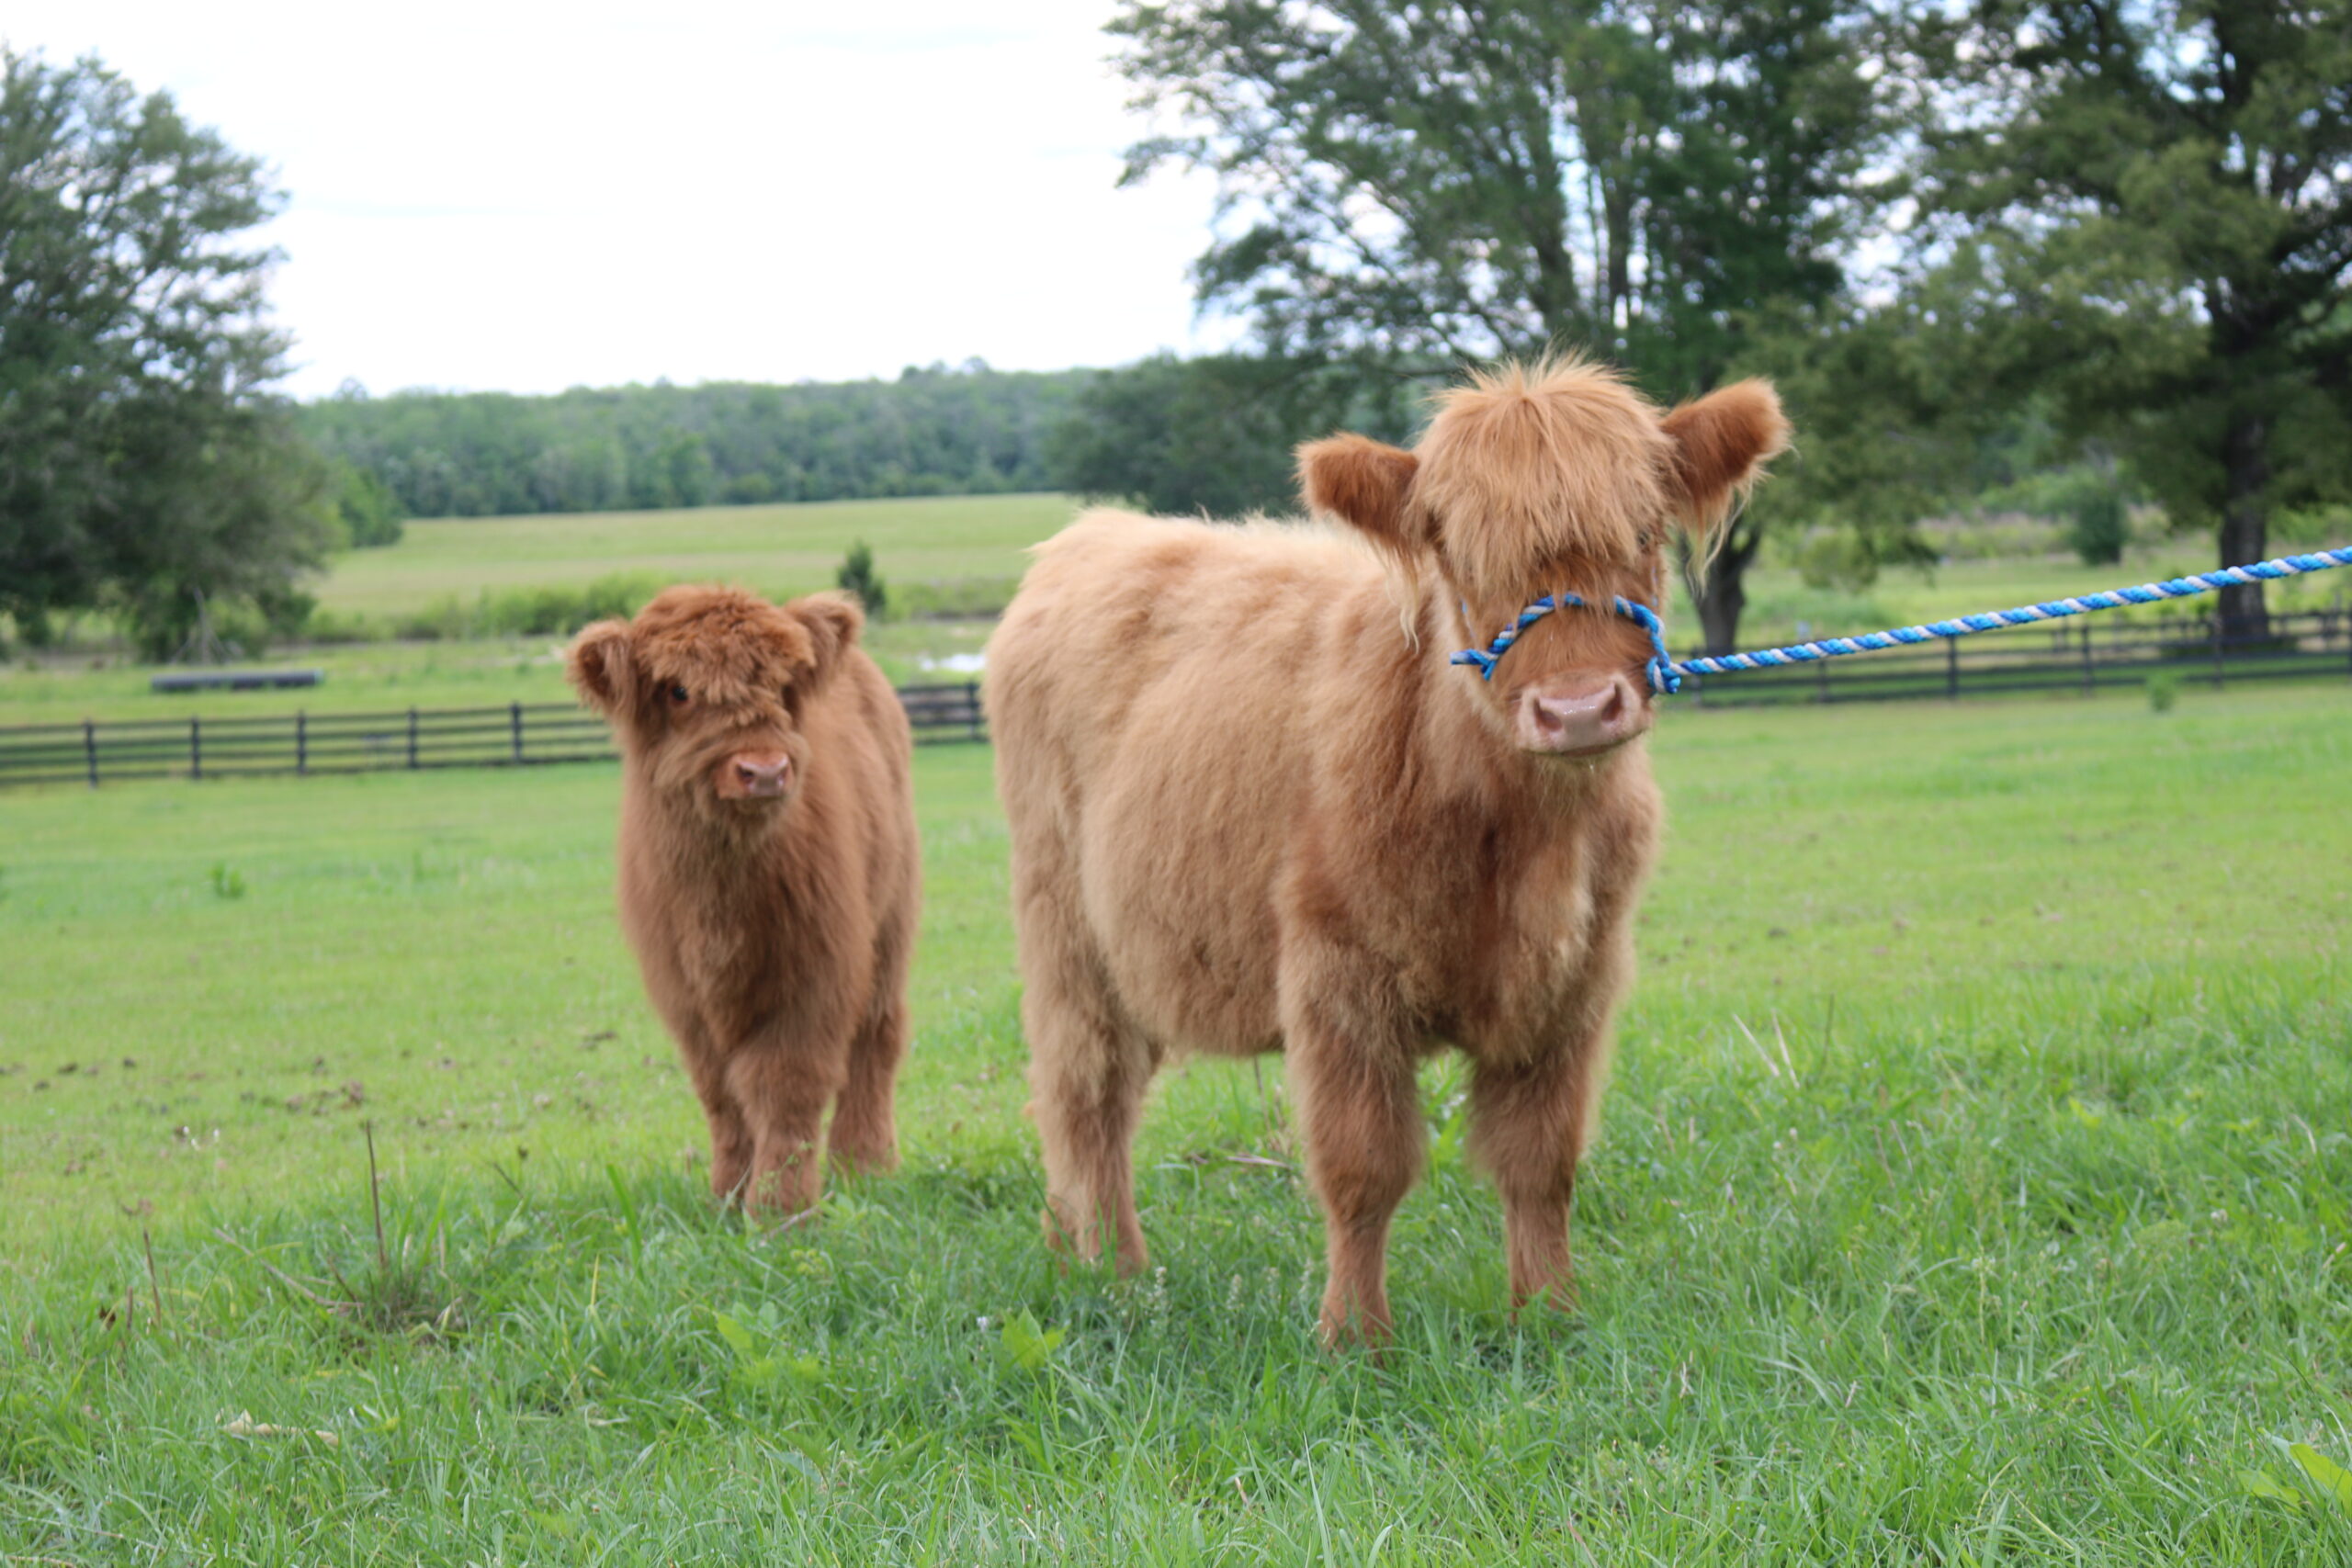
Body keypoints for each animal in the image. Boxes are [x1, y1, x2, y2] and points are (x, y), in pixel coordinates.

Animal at [566, 585, 919, 1214]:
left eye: (781, 685)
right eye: (678, 690)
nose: (764, 770)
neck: (721, 906)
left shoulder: (815, 973)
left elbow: (785, 1085)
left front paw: (781, 1206)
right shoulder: (684, 993)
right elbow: (721, 1094)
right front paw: (728, 1195)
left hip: (890, 922)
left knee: (876, 1040)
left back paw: (865, 1165)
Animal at [984, 358, 1787, 1343]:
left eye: (1642, 531)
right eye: (1460, 554)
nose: (1577, 710)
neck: (1523, 838)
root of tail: (1092, 536)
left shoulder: (1575, 982)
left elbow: (1541, 1159)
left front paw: (1549, 1316)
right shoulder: (1337, 976)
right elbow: (1364, 1168)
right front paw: (1355, 1337)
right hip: (1065, 930)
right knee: (1085, 1094)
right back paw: (1113, 1270)